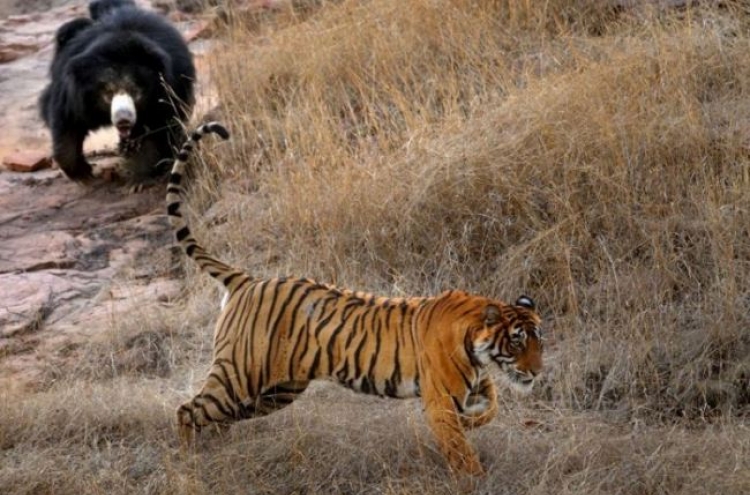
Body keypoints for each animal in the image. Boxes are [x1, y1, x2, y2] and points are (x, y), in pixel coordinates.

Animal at [39, 0, 195, 183]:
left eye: (135, 91)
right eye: (108, 93)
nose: (123, 120)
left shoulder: (169, 90)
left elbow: (158, 128)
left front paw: (141, 175)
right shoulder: (74, 92)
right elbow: (67, 121)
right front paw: (82, 173)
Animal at [167, 121, 548, 476]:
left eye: (538, 342)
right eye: (517, 342)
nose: (538, 372)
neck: (476, 342)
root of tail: (247, 280)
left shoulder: (477, 383)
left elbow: (492, 407)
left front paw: (474, 421)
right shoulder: (440, 399)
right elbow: (460, 449)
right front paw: (474, 478)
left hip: (276, 391)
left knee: (216, 416)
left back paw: (218, 448)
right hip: (240, 375)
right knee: (188, 410)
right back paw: (189, 461)